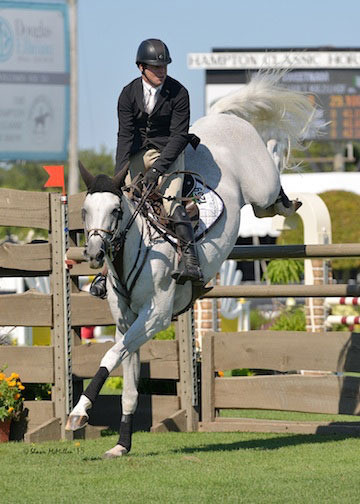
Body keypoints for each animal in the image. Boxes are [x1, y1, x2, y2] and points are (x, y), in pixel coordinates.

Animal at [66, 72, 322, 456]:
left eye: (115, 210)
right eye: (84, 211)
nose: (95, 254)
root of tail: (220, 118)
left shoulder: (155, 317)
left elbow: (109, 356)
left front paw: (78, 413)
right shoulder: (126, 322)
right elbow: (127, 384)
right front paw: (121, 445)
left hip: (259, 184)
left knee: (272, 177)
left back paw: (285, 180)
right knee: (266, 203)